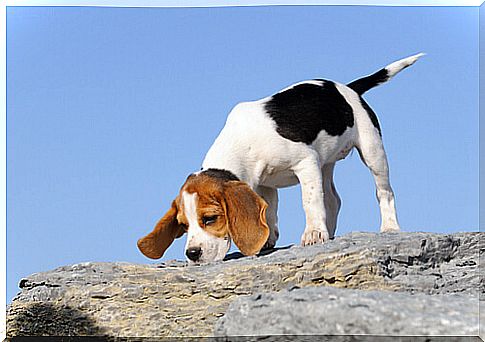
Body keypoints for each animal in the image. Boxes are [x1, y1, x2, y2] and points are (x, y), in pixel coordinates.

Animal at [136, 52, 420, 264]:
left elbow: (309, 202)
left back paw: (388, 227)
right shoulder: (264, 183)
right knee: (333, 200)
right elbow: (270, 211)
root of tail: (347, 88)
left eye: (210, 219)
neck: (242, 142)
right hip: (325, 164)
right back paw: (330, 231)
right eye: (183, 226)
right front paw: (268, 239)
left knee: (383, 192)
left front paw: (313, 233)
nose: (192, 254)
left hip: (372, 151)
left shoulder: (306, 163)